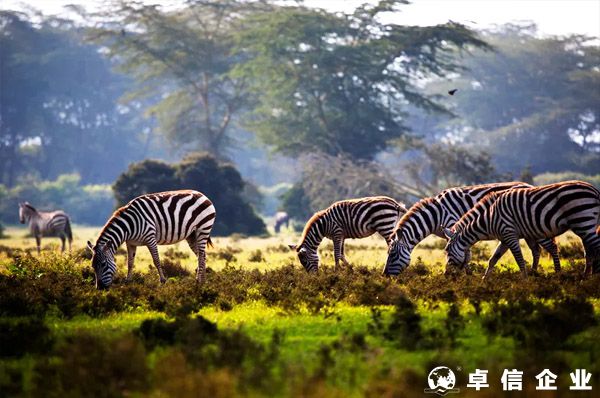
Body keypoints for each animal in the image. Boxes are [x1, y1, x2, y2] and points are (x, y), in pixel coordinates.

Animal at [84, 190, 216, 290]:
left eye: (103, 264)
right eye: (92, 266)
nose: (100, 288)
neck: (129, 226)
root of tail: (202, 195)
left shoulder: (150, 238)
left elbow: (156, 260)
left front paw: (162, 281)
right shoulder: (130, 243)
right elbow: (130, 263)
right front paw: (128, 281)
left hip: (203, 229)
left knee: (201, 256)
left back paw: (199, 282)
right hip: (192, 235)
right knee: (202, 256)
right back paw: (202, 281)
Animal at [384, 182, 564, 276]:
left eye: (393, 255)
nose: (385, 276)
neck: (436, 215)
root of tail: (528, 184)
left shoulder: (455, 226)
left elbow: (465, 255)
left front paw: (465, 276)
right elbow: (463, 254)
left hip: (536, 227)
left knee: (551, 248)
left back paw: (556, 274)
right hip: (528, 231)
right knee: (536, 250)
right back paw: (534, 274)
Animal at [446, 181, 600, 280]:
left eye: (446, 251)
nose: (445, 275)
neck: (489, 217)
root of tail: (595, 190)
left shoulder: (509, 234)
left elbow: (519, 259)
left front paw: (525, 282)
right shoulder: (504, 238)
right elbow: (493, 259)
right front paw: (484, 281)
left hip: (582, 221)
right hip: (584, 225)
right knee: (589, 252)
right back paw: (585, 278)